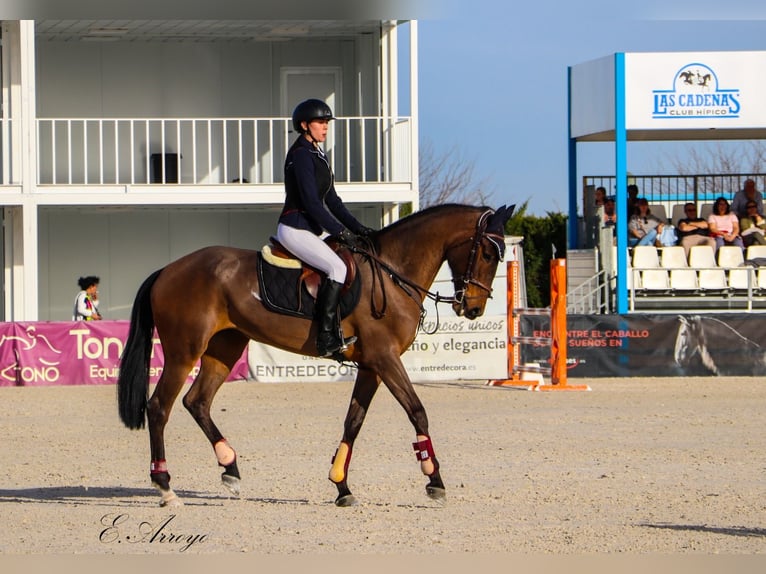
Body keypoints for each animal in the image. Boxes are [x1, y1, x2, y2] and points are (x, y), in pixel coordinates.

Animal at [118, 204, 516, 508]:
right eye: (486, 253)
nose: (474, 309)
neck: (392, 273)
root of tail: (168, 270)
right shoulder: (386, 359)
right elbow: (417, 411)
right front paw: (434, 481)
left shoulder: (371, 366)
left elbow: (353, 422)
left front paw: (341, 486)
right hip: (183, 352)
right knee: (159, 408)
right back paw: (166, 487)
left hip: (225, 348)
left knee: (197, 401)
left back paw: (230, 468)